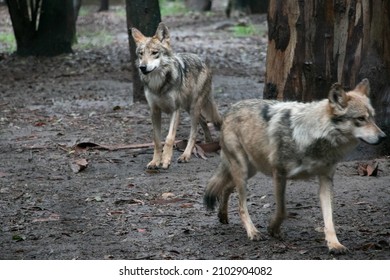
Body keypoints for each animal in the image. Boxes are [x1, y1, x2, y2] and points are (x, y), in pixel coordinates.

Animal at [131, 22, 222, 168]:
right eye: (141, 54)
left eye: (154, 53)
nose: (142, 67)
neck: (158, 84)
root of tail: (202, 60)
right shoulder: (154, 111)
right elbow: (157, 140)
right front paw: (155, 161)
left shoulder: (175, 110)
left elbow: (169, 138)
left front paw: (166, 160)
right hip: (188, 107)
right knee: (203, 121)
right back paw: (208, 142)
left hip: (193, 108)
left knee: (194, 132)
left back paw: (186, 155)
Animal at [204, 79, 386, 254]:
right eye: (361, 119)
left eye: (373, 117)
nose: (383, 136)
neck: (315, 135)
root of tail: (231, 107)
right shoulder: (279, 174)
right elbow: (282, 210)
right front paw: (273, 228)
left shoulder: (326, 179)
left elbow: (329, 219)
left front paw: (335, 244)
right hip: (243, 170)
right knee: (241, 204)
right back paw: (253, 232)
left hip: (251, 169)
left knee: (227, 186)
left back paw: (223, 215)